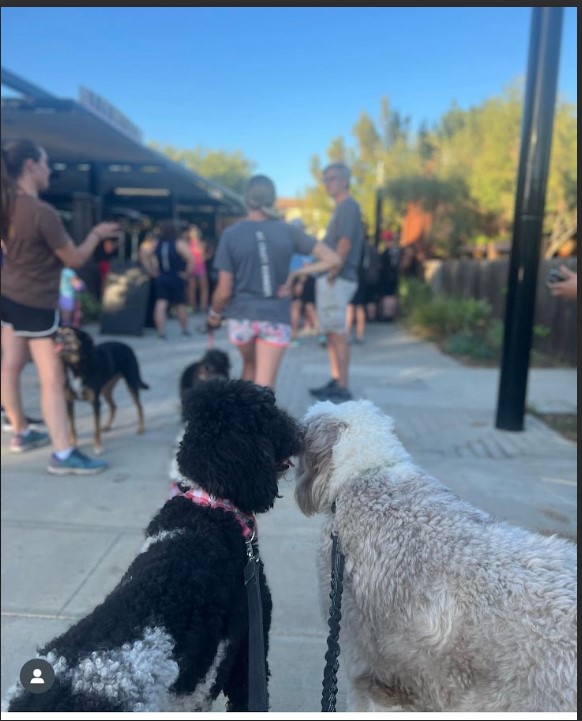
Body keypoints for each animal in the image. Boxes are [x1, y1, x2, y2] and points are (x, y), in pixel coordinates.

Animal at [54, 324, 149, 452]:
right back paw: (108, 426)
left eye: (69, 333)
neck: (77, 366)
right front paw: (73, 444)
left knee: (139, 406)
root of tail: (125, 344)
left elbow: (96, 428)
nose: (55, 336)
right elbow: (72, 427)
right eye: (58, 331)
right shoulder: (69, 401)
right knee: (114, 406)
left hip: (131, 384)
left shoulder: (95, 403)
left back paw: (141, 428)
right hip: (106, 390)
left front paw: (97, 446)